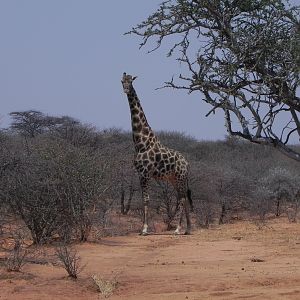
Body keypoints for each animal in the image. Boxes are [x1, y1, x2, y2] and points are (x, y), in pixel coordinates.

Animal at [120, 72, 192, 234]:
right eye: (121, 81)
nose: (126, 89)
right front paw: (143, 228)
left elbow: (146, 199)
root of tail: (187, 163)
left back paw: (178, 229)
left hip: (180, 177)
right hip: (174, 178)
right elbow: (143, 199)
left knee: (182, 198)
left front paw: (145, 229)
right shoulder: (140, 173)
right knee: (183, 196)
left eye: (131, 81)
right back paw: (188, 228)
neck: (141, 142)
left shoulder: (145, 173)